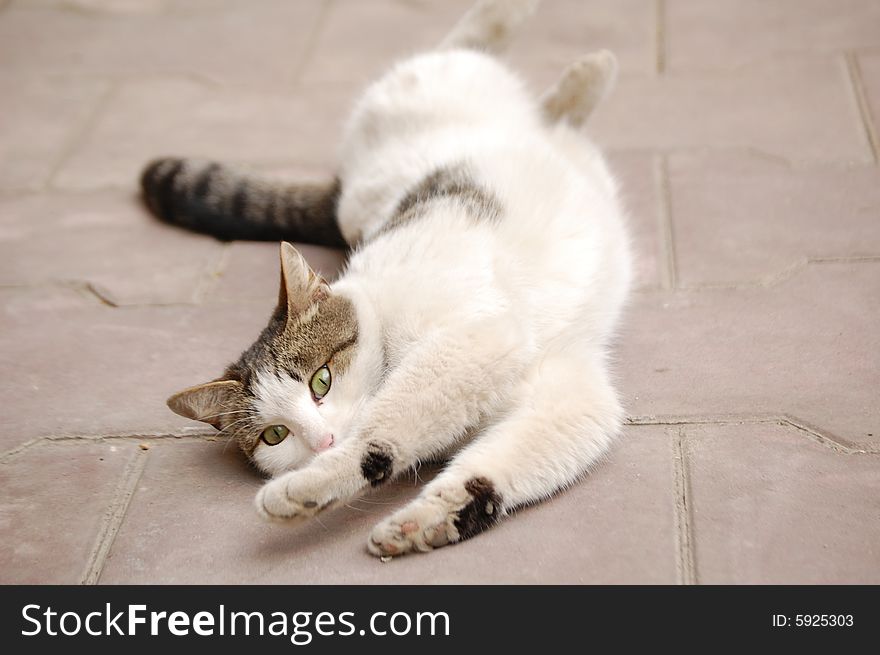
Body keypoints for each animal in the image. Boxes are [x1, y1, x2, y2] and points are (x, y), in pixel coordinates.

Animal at [141, 0, 628, 560]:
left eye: (322, 380)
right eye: (274, 436)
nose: (323, 441)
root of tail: (341, 189)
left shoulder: (478, 337)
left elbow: (382, 431)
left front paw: (306, 486)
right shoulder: (564, 397)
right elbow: (503, 463)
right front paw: (429, 520)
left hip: (425, 98)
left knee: (465, 53)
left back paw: (565, 53)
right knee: (543, 113)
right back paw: (580, 82)